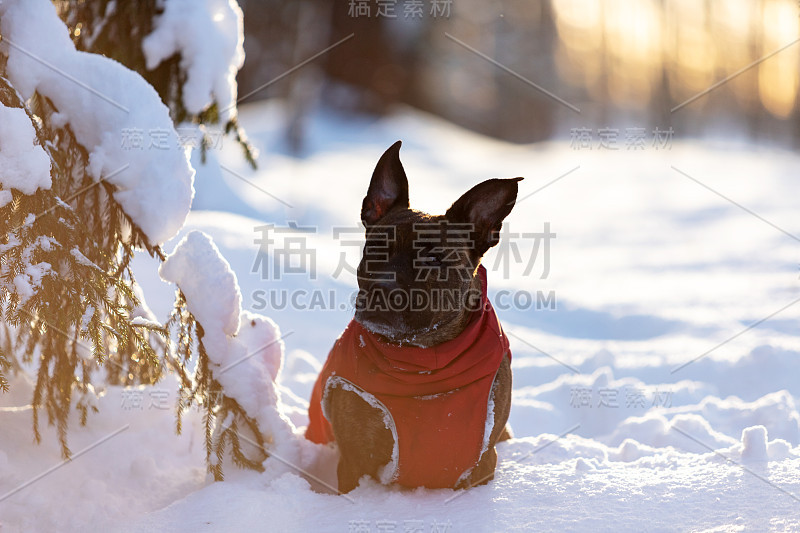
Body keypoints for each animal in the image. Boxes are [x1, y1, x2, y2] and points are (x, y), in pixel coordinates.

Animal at [304, 140, 520, 490]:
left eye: (433, 259)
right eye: (375, 248)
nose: (382, 290)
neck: (423, 363)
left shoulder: (482, 465)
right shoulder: (355, 461)